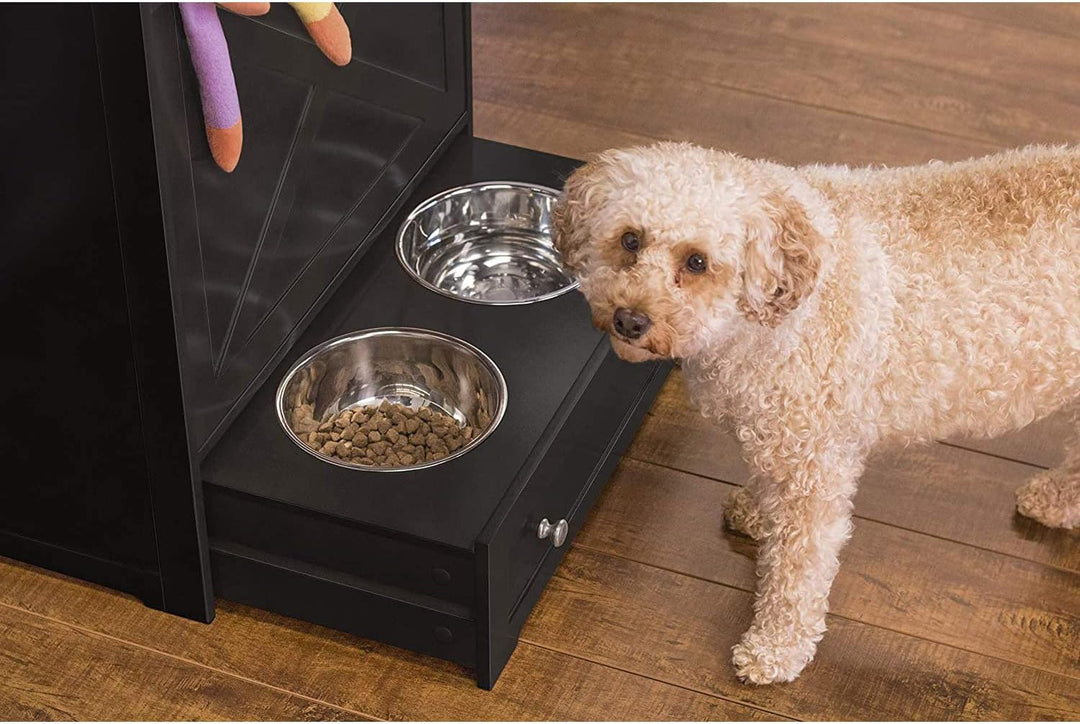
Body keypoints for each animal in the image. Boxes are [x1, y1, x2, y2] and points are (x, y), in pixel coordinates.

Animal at [557, 141, 1080, 687]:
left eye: (697, 262)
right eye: (630, 239)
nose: (629, 320)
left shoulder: (814, 466)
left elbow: (798, 570)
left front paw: (775, 650)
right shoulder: (780, 438)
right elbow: (770, 499)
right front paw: (757, 514)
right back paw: (1055, 500)